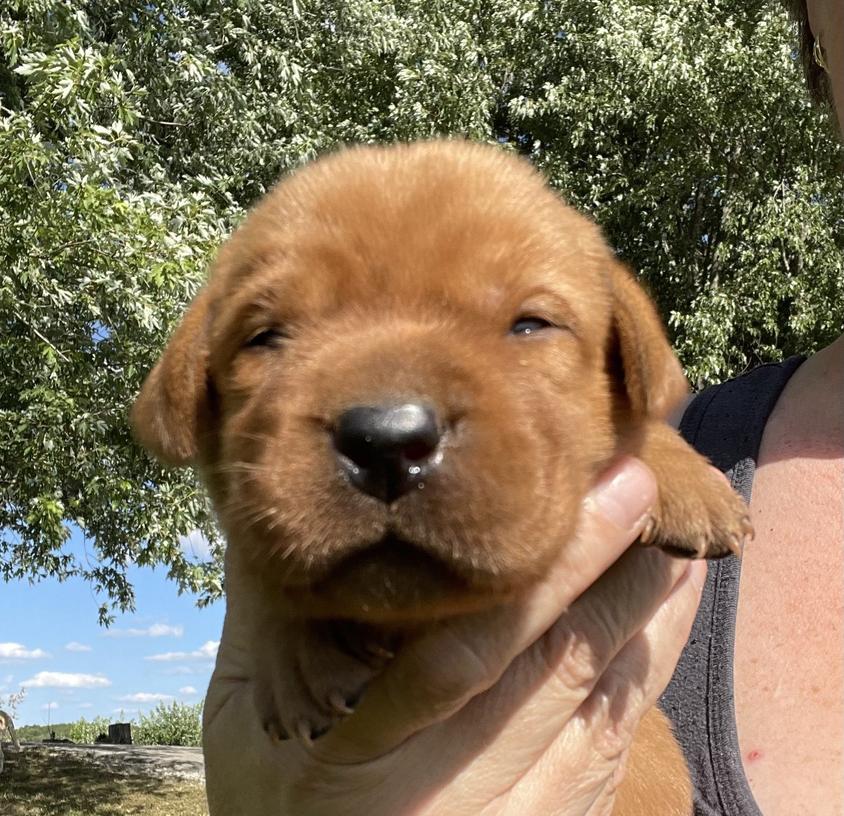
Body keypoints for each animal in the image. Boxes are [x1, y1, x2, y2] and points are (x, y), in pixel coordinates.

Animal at [132, 142, 752, 816]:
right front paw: (297, 655)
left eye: (531, 325)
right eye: (265, 337)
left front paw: (687, 479)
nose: (386, 441)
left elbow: (634, 431)